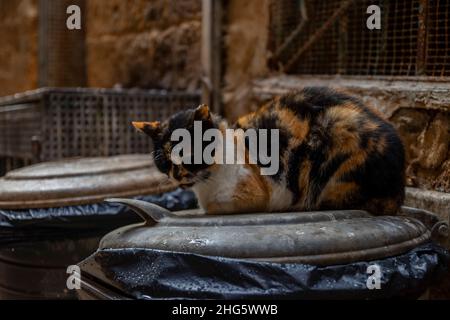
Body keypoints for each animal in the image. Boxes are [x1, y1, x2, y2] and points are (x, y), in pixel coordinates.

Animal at [133, 88, 404, 215]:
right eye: (164, 162)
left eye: (188, 155)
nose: (177, 175)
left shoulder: (252, 195)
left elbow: (214, 206)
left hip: (340, 131)